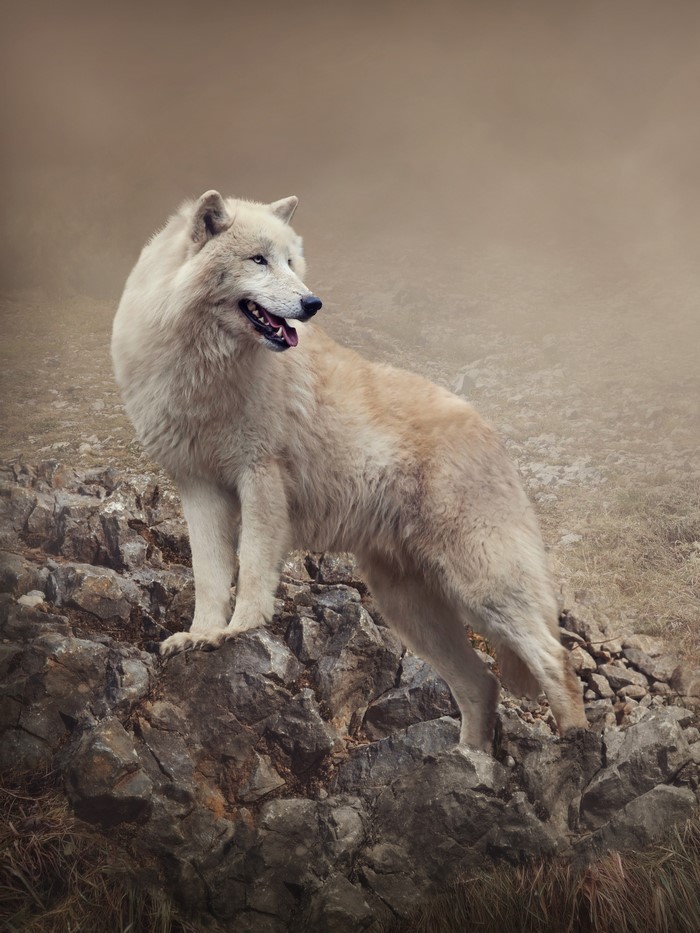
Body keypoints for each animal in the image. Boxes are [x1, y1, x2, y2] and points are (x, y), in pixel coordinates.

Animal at [112, 190, 587, 751]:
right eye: (258, 260)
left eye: (291, 262)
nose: (312, 304)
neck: (205, 370)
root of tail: (490, 431)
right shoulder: (199, 487)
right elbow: (209, 575)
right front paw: (202, 635)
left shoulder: (259, 477)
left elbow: (251, 568)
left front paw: (240, 630)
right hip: (410, 609)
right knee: (483, 684)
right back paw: (471, 762)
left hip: (480, 587)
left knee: (556, 660)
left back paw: (574, 746)